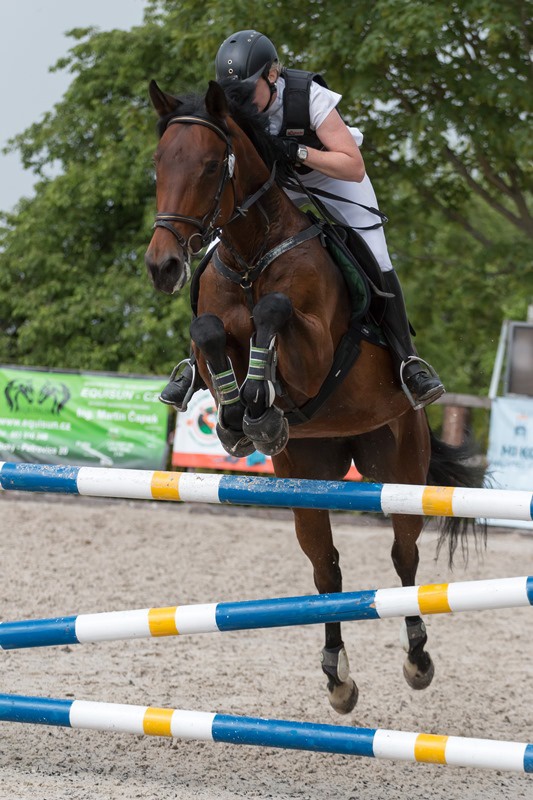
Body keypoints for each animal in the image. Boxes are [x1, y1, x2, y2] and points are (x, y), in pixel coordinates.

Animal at [144, 79, 485, 714]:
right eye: (159, 164)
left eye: (211, 166)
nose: (163, 266)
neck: (252, 256)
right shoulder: (211, 333)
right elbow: (209, 331)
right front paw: (239, 416)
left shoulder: (318, 352)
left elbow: (275, 315)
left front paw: (258, 398)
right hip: (306, 475)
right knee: (326, 572)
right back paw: (337, 677)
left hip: (399, 464)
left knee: (404, 558)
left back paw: (417, 659)